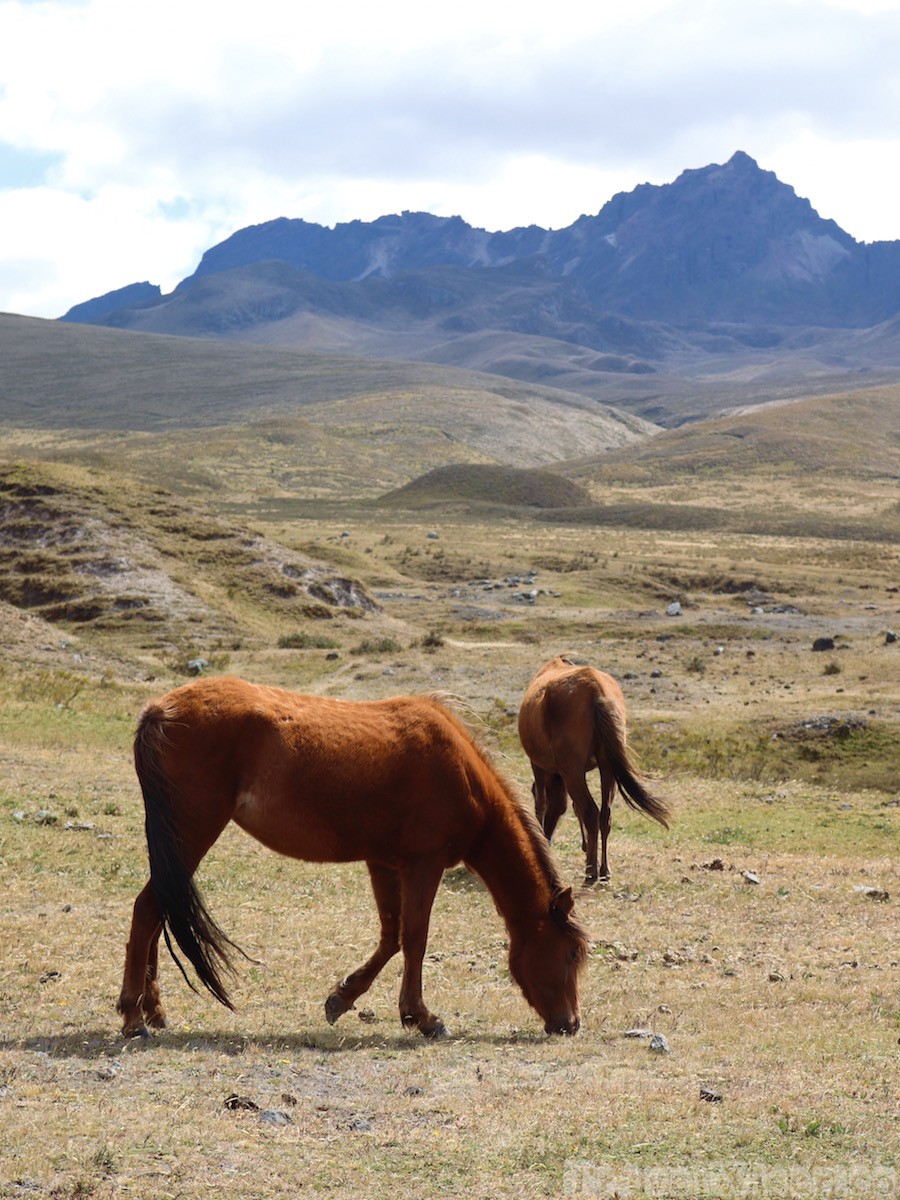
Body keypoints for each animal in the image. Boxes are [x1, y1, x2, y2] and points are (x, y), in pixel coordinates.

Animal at [117, 675, 589, 1040]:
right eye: (569, 955)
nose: (569, 1025)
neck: (463, 776)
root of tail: (160, 711)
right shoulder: (424, 865)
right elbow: (415, 938)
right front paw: (423, 1018)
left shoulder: (385, 864)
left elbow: (391, 937)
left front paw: (342, 998)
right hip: (191, 835)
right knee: (149, 910)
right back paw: (132, 1017)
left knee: (157, 911)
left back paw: (153, 1010)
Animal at [517, 657, 671, 882]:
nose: (547, 841)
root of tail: (595, 689)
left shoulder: (539, 765)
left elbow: (542, 804)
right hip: (607, 768)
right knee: (604, 815)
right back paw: (604, 869)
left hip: (572, 770)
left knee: (590, 811)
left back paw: (591, 869)